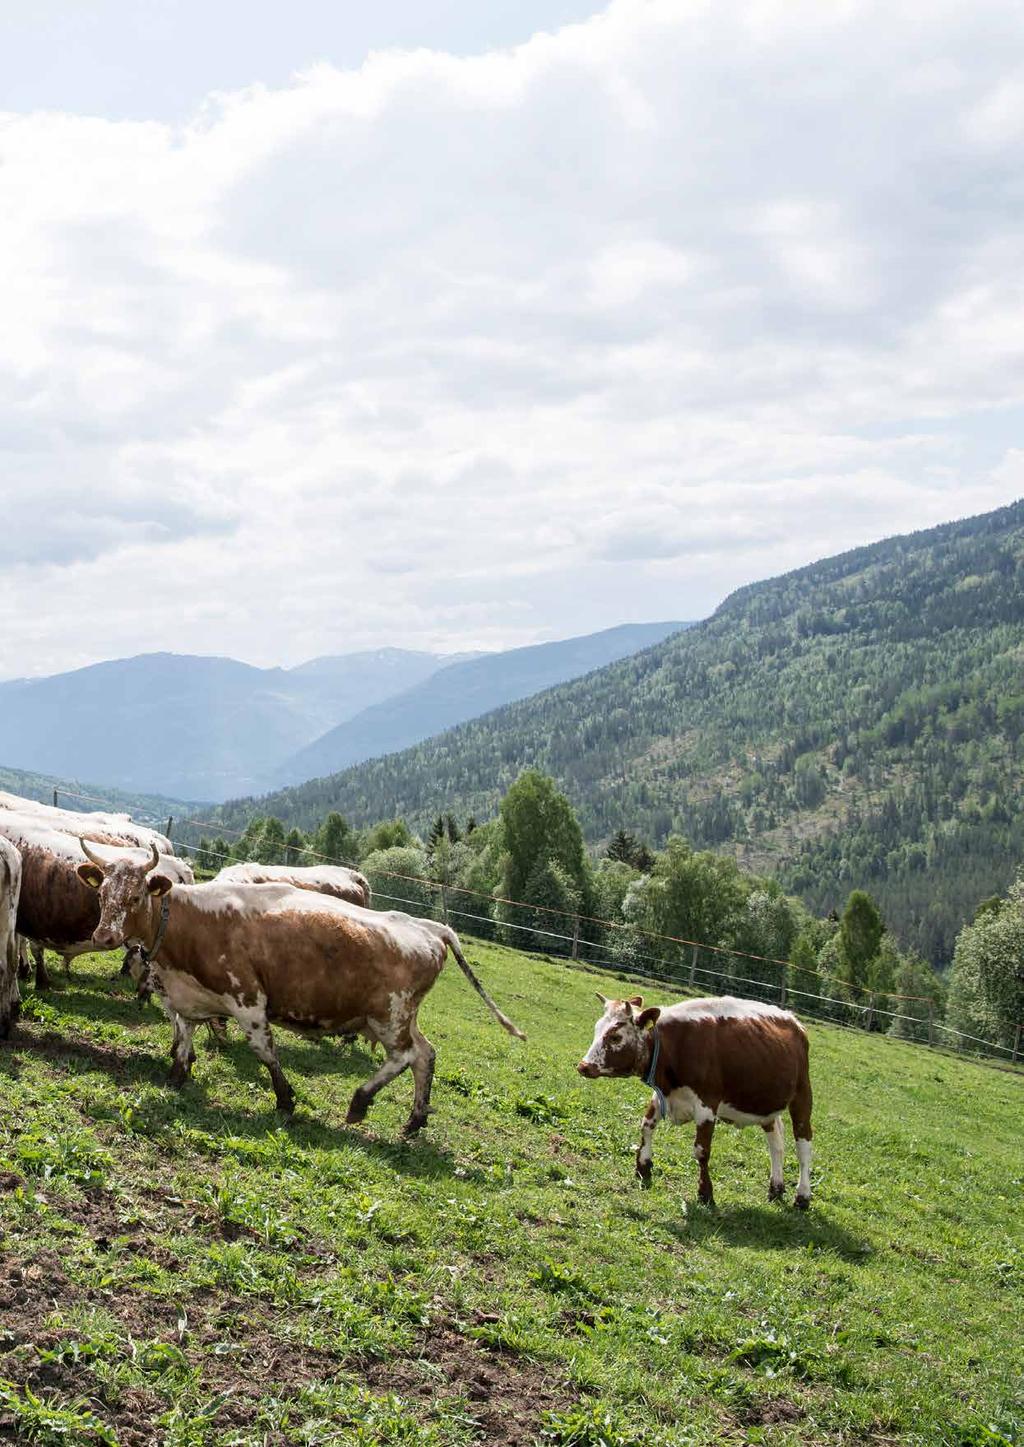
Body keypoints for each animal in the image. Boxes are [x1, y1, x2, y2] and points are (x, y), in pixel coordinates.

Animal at [581, 995, 809, 1209]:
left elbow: (701, 1151)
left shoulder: (706, 1105)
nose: (583, 1066)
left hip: (802, 1095)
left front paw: (705, 1193)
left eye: (615, 1037)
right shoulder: (663, 1095)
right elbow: (646, 1126)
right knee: (776, 1143)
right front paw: (643, 1167)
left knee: (803, 1146)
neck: (674, 1046)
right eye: (596, 1028)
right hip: (765, 1105)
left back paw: (803, 1197)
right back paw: (776, 1188)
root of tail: (793, 1020)